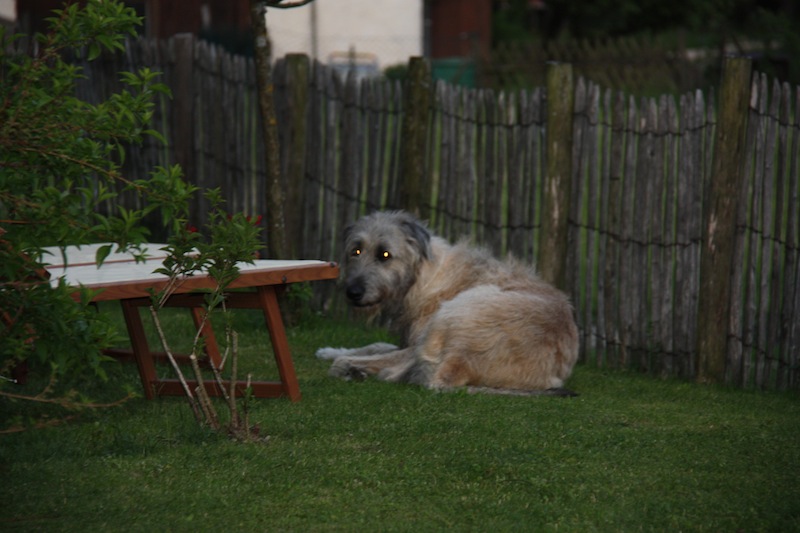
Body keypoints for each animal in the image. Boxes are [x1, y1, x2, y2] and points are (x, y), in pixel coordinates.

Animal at [316, 211, 579, 396]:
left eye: (385, 255)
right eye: (356, 250)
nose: (353, 292)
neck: (422, 276)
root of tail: (461, 360)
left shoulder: (417, 343)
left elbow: (382, 352)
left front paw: (344, 360)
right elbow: (376, 345)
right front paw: (331, 350)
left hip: (460, 307)